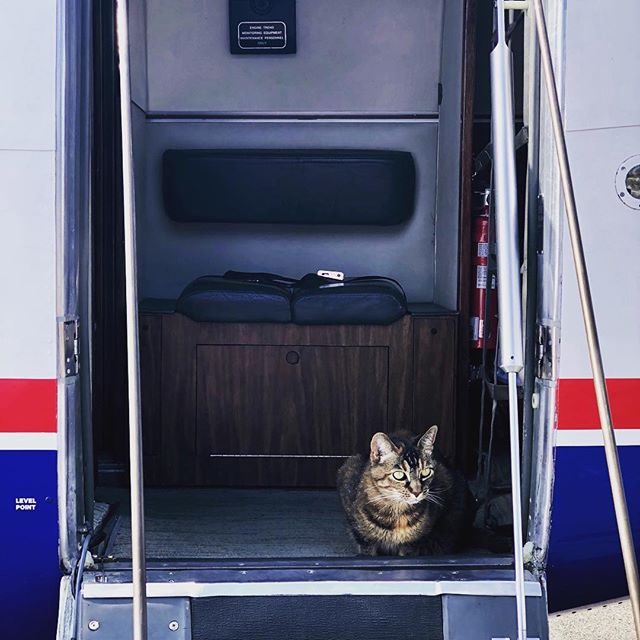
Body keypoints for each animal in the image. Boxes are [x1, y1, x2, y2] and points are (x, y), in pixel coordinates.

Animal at [340, 428, 470, 556]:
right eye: (399, 475)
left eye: (426, 472)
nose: (417, 492)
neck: (397, 512)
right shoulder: (364, 540)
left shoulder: (412, 545)